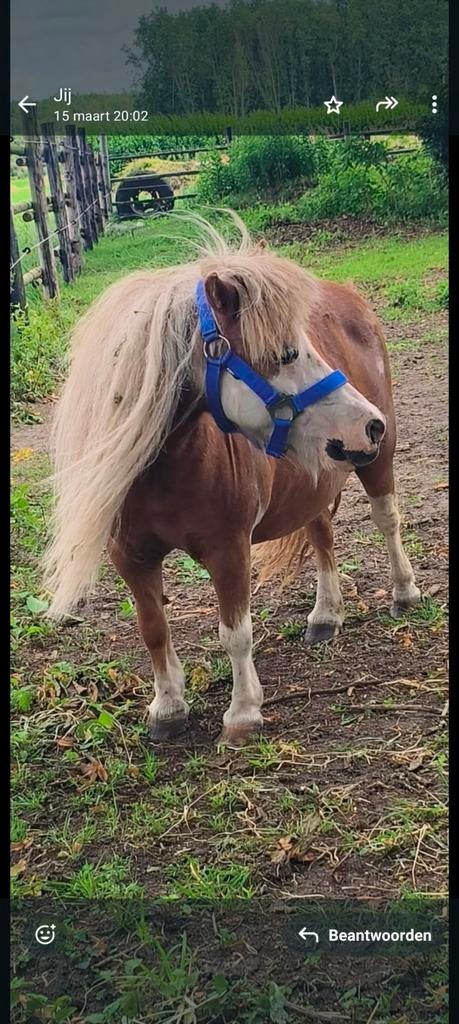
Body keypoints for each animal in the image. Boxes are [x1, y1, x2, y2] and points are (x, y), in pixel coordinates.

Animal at [44, 213, 420, 746]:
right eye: (287, 353)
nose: (369, 424)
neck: (164, 471)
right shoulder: (131, 558)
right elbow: (153, 628)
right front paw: (168, 707)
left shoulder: (229, 549)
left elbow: (235, 632)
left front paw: (243, 712)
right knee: (322, 536)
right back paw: (326, 615)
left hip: (376, 462)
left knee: (387, 521)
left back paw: (404, 592)